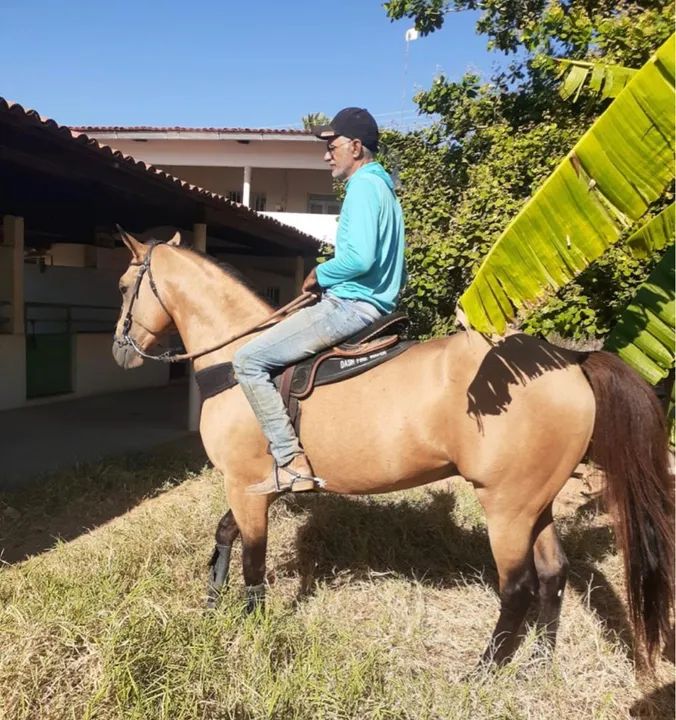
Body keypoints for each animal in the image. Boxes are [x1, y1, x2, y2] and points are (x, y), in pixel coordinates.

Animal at [111, 227, 673, 668]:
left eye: (122, 286)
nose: (121, 351)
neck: (236, 362)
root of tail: (568, 360)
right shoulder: (251, 488)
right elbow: (224, 534)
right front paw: (212, 600)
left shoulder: (246, 486)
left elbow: (252, 561)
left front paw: (249, 630)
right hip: (535, 502)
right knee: (555, 572)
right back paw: (538, 658)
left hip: (507, 508)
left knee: (518, 587)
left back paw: (486, 669)